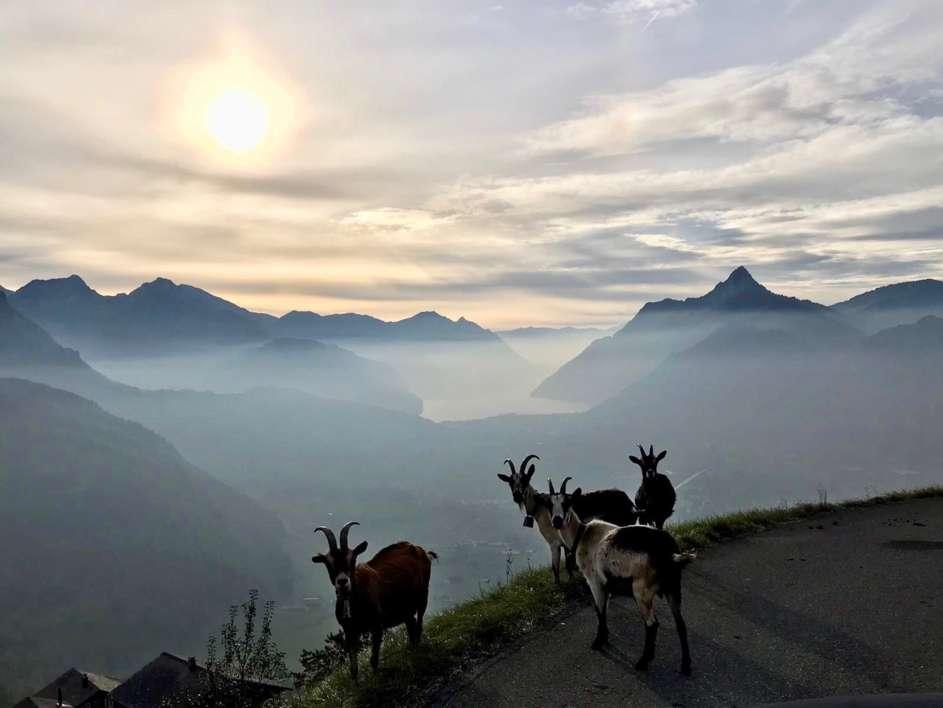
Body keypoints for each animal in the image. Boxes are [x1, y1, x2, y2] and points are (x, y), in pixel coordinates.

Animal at [314, 520, 438, 680]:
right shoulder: (349, 631)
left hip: (423, 595)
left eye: (352, 559)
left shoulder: (377, 626)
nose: (342, 582)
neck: (356, 601)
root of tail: (420, 549)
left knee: (419, 624)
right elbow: (353, 669)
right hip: (405, 608)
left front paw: (375, 680)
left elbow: (374, 660)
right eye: (329, 563)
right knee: (410, 625)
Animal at [498, 456, 636, 584]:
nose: (517, 496)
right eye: (510, 482)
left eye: (525, 480)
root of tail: (629, 503)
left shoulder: (554, 542)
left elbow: (556, 567)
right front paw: (571, 579)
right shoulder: (565, 542)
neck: (540, 507)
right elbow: (568, 564)